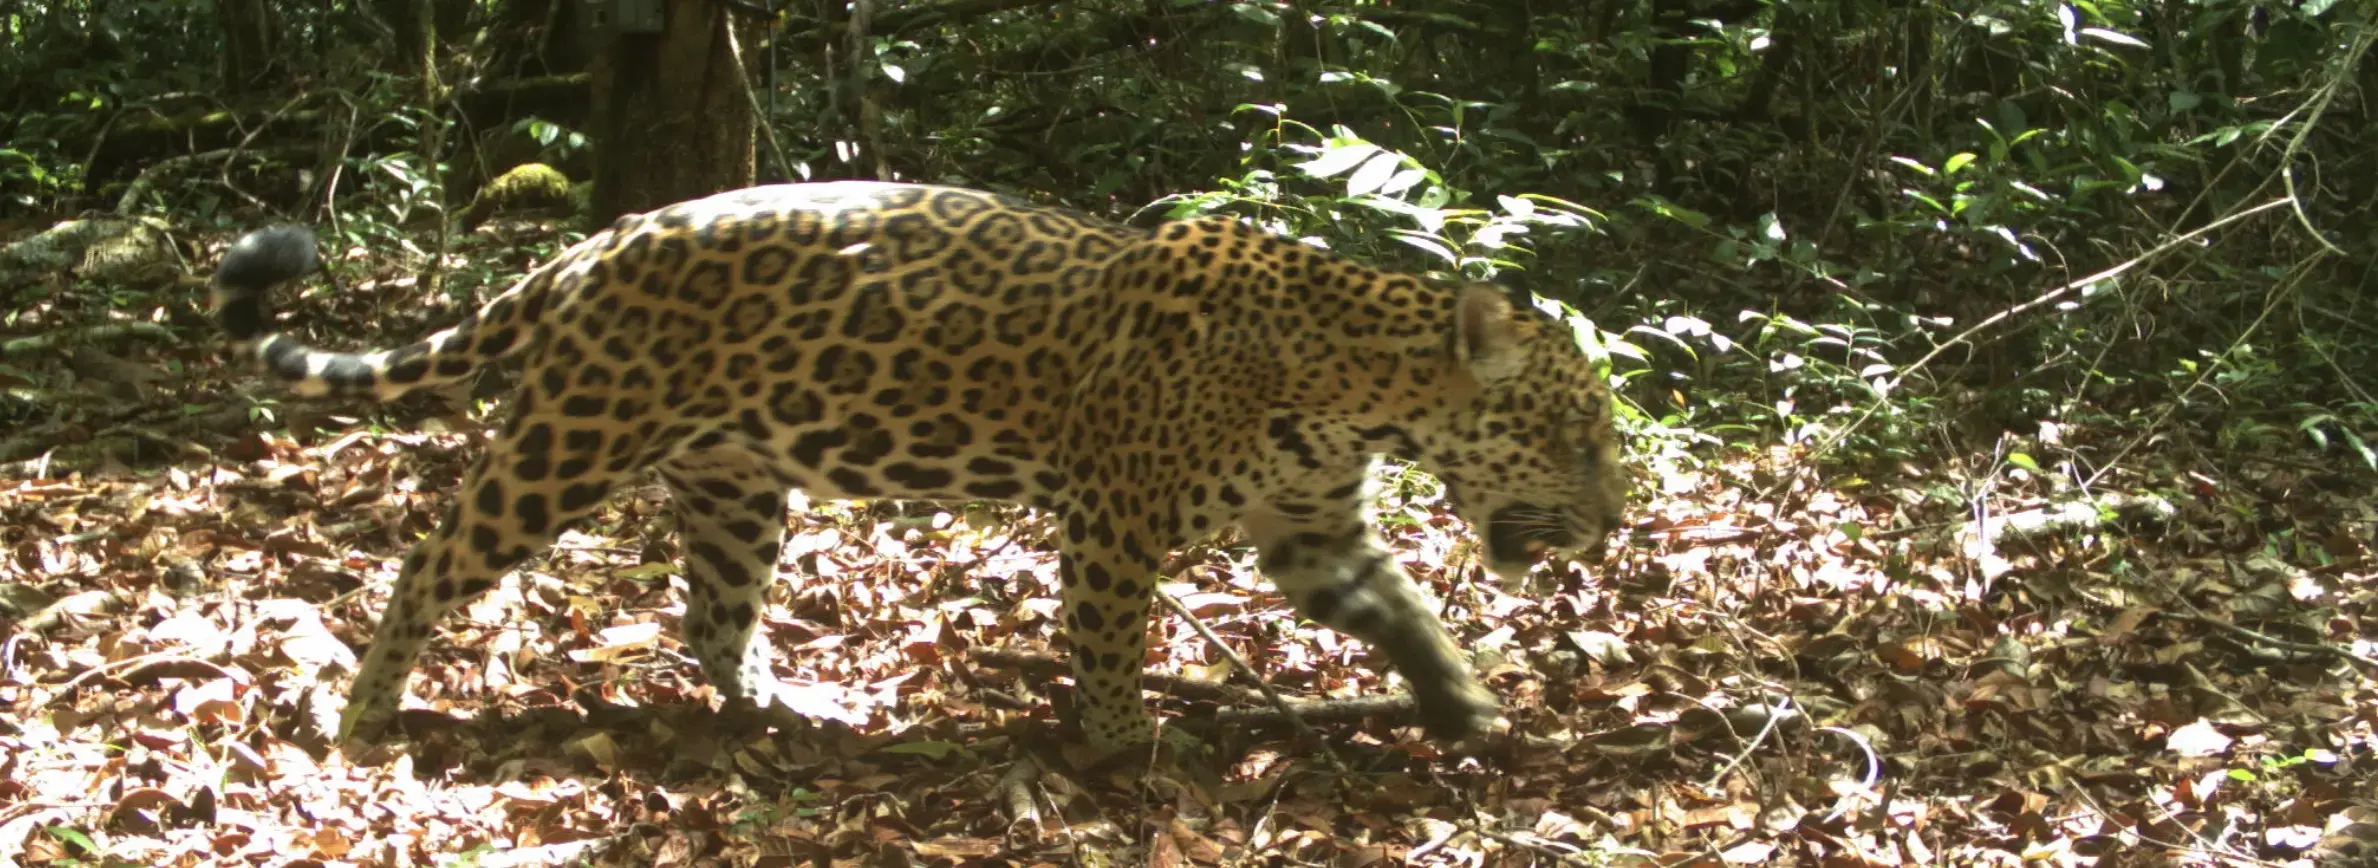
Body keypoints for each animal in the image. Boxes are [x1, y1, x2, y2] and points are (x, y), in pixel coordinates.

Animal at [208, 181, 1631, 753]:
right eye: (1576, 434)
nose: (1612, 523)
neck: (1355, 388)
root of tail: (594, 244)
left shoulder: (1312, 529)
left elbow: (1403, 609)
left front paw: (1463, 703)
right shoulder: (1113, 514)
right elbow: (1106, 639)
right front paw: (1121, 749)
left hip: (735, 482)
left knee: (711, 616)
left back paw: (787, 708)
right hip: (572, 439)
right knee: (427, 560)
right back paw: (363, 714)